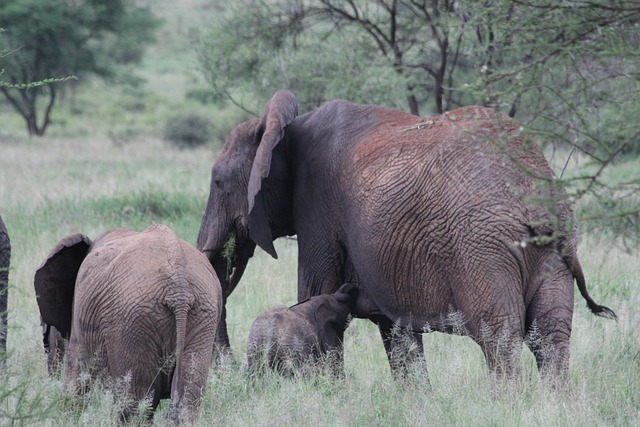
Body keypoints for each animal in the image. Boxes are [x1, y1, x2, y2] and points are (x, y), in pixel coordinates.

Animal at [33, 224, 222, 424]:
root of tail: (178, 285)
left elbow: (77, 380)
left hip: (132, 321)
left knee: (134, 403)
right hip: (202, 315)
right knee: (186, 398)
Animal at [196, 90, 616, 384]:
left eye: (217, 183)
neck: (284, 127)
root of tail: (537, 192)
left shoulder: (317, 212)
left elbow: (313, 293)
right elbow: (396, 332)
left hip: (482, 248)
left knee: (499, 337)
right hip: (552, 251)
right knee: (550, 338)